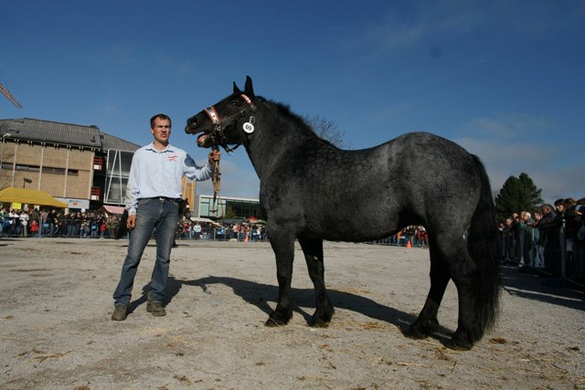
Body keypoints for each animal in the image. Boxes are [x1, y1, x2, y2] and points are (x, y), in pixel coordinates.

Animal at [185, 76, 500, 350]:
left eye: (234, 103)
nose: (192, 122)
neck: (288, 157)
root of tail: (468, 156)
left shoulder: (281, 229)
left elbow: (284, 271)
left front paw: (279, 315)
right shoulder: (309, 235)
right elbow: (316, 271)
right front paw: (320, 316)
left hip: (447, 232)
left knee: (464, 274)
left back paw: (461, 337)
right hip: (435, 234)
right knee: (439, 275)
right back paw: (420, 328)